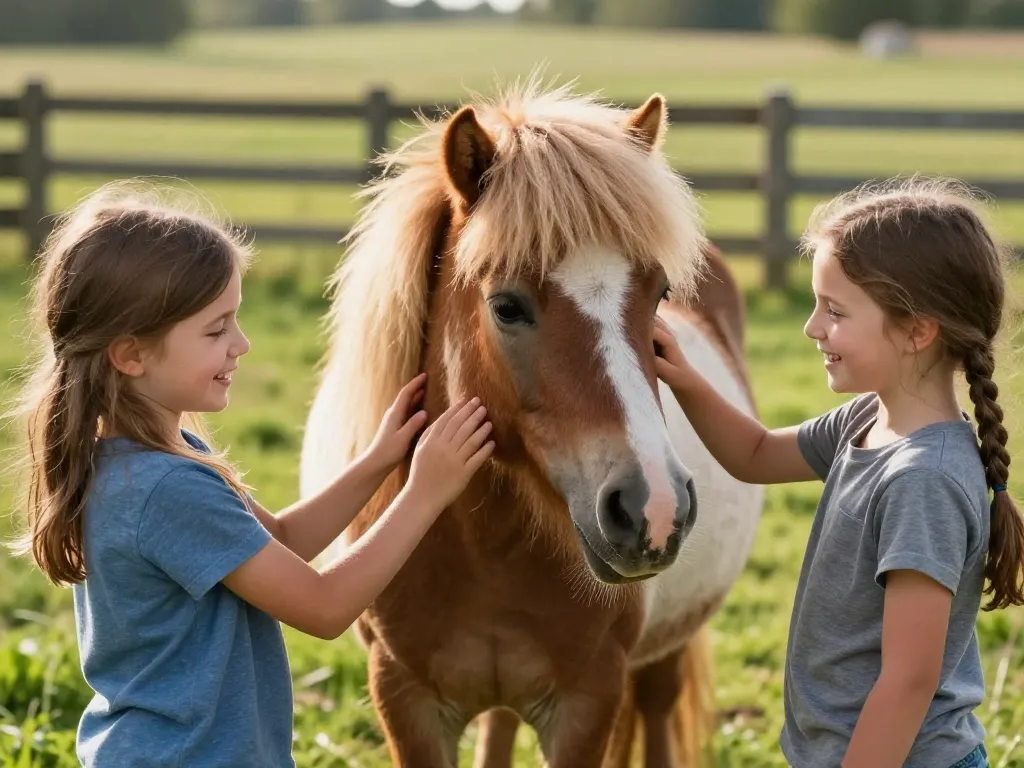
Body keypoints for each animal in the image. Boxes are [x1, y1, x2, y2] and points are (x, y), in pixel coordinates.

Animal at [299, 78, 765, 768]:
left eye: (660, 296)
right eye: (507, 306)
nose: (652, 507)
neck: (485, 549)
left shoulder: (586, 702)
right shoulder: (404, 698)